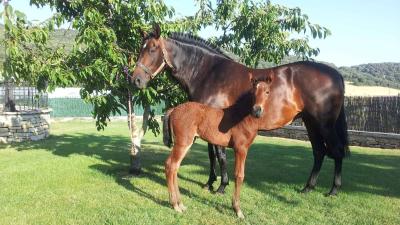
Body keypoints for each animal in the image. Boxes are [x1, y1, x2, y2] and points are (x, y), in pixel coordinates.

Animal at [130, 24, 346, 197]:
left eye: (153, 49)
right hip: (311, 123)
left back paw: (333, 190)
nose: (136, 80)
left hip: (324, 124)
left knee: (335, 150)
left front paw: (221, 186)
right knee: (319, 152)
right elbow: (211, 154)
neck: (208, 73)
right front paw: (210, 183)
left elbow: (220, 155)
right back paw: (308, 188)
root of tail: (335, 74)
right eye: (140, 48)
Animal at [162, 79, 272, 218]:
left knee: (175, 167)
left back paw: (180, 204)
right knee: (170, 165)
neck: (240, 117)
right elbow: (239, 175)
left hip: (186, 143)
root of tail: (174, 109)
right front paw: (238, 210)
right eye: (253, 91)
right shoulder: (241, 149)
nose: (257, 110)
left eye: (267, 92)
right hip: (183, 143)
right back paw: (175, 205)